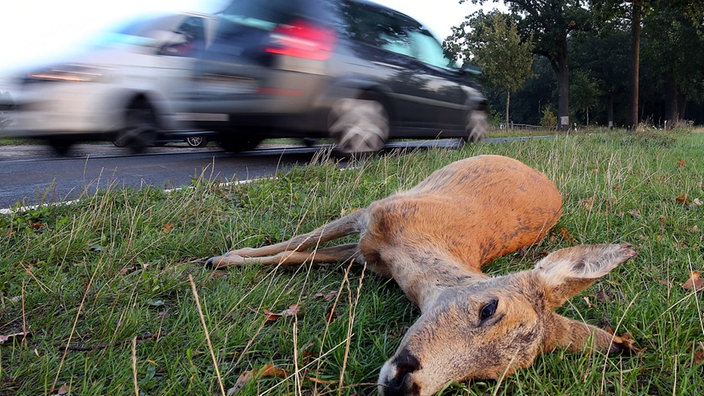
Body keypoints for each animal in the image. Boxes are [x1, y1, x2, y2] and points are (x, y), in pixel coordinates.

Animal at [208, 155, 640, 396]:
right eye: (489, 308)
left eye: (488, 375)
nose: (406, 386)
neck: (408, 250)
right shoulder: (373, 212)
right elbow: (299, 243)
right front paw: (223, 258)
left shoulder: (366, 254)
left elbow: (299, 256)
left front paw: (227, 259)